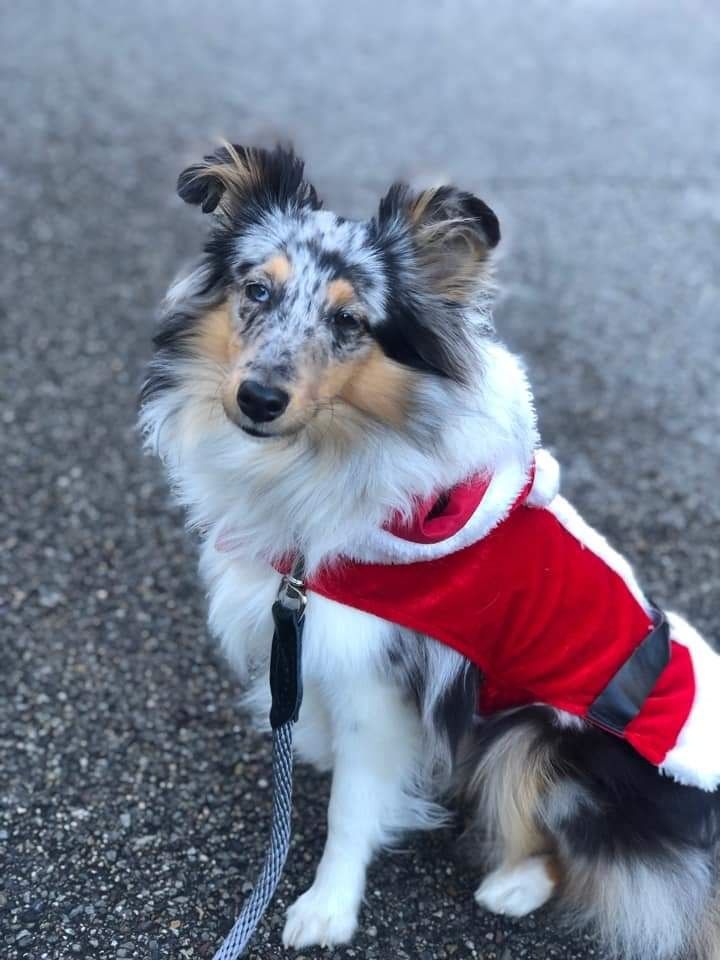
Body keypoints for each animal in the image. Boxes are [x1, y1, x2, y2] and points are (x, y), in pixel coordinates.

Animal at [141, 144, 720, 960]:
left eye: (349, 320)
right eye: (256, 290)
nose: (258, 399)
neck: (326, 458)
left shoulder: (379, 679)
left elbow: (352, 807)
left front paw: (327, 908)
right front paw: (313, 746)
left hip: (540, 739)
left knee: (576, 850)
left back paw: (511, 886)